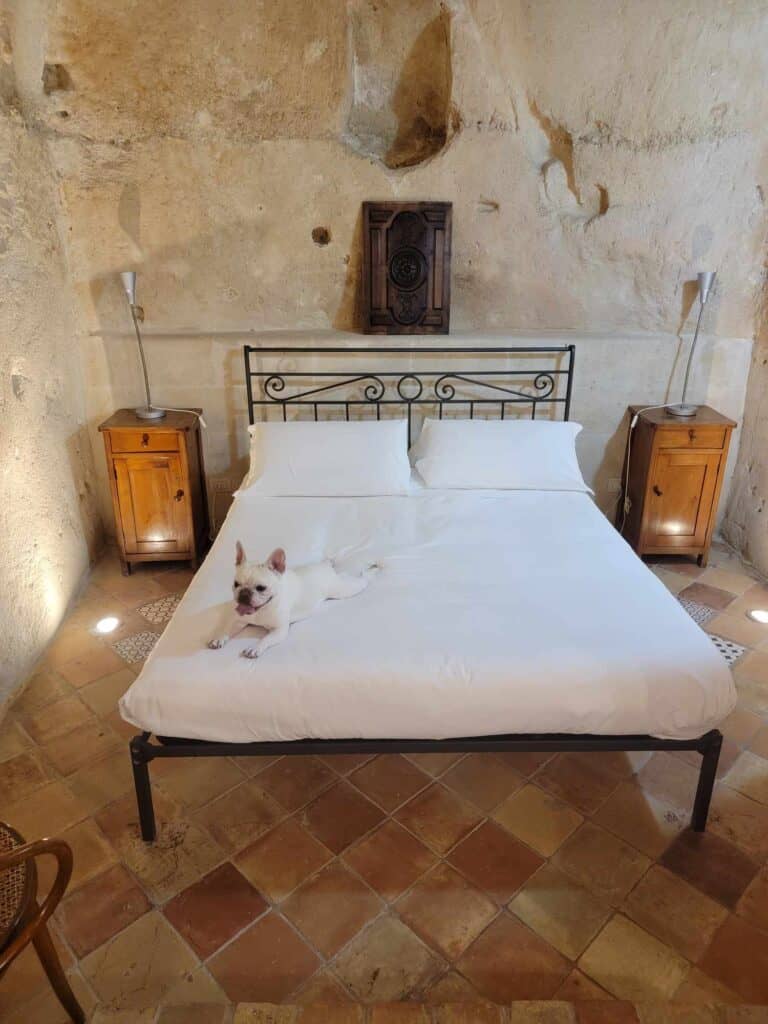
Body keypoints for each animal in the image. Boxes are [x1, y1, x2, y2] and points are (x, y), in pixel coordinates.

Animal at [205, 540, 370, 659]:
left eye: (261, 588)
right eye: (236, 584)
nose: (244, 594)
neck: (262, 609)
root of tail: (325, 566)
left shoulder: (280, 630)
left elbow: (266, 639)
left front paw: (255, 648)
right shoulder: (239, 621)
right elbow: (227, 629)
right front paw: (219, 638)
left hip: (343, 590)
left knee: (362, 580)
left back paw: (371, 569)